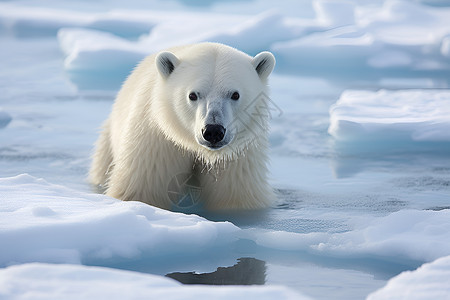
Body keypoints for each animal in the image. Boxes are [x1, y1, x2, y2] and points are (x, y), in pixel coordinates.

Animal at [89, 42, 276, 211]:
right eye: (193, 95)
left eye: (235, 94)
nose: (213, 131)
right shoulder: (155, 144)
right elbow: (143, 190)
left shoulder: (238, 157)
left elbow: (235, 196)